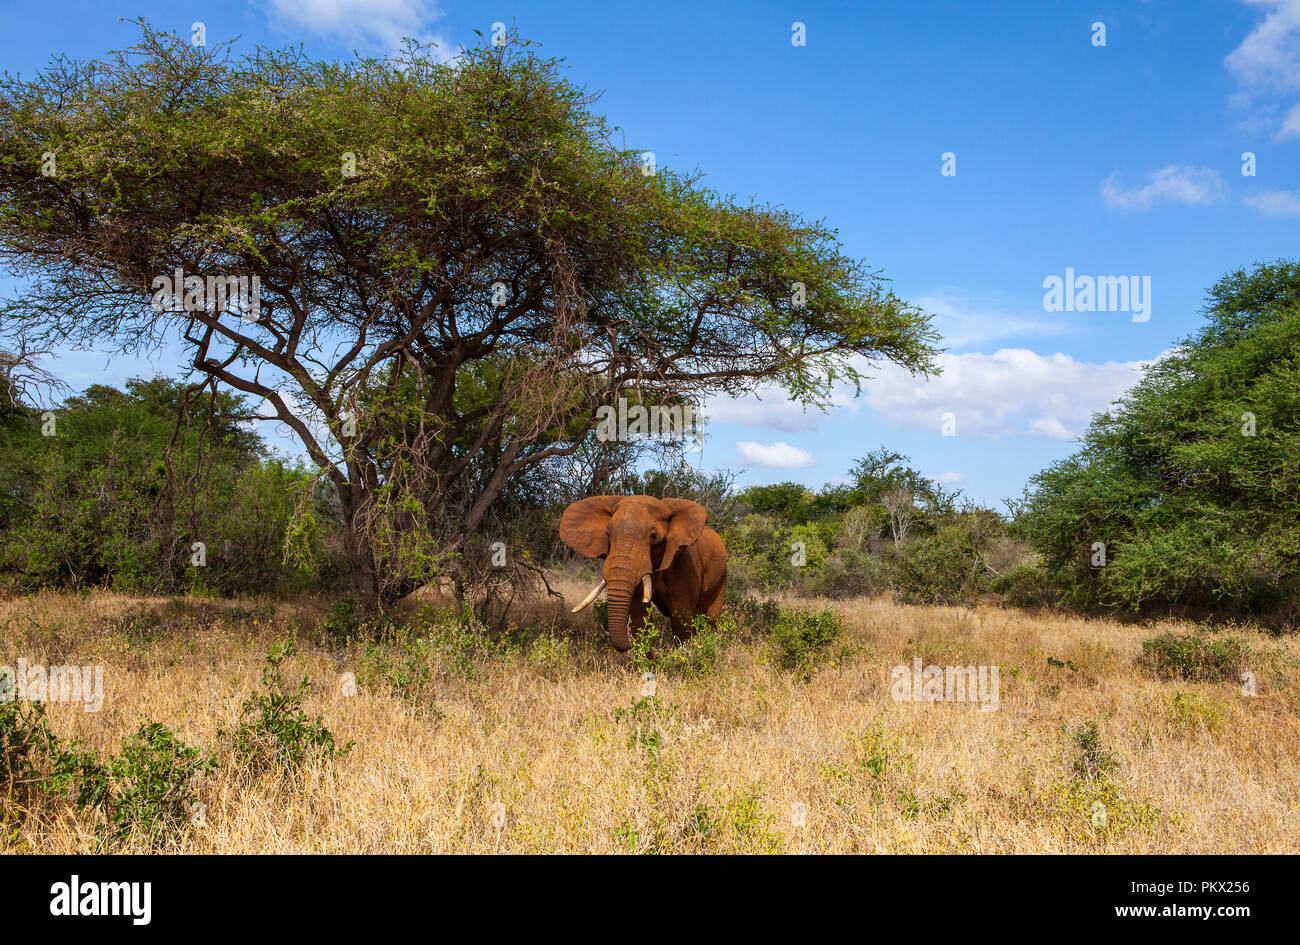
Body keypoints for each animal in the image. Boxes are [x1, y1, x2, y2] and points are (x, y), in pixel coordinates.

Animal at [556, 496, 728, 649]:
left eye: (653, 536)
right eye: (608, 534)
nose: (627, 645)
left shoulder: (685, 564)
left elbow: (681, 619)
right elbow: (640, 618)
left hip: (722, 577)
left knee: (711, 618)